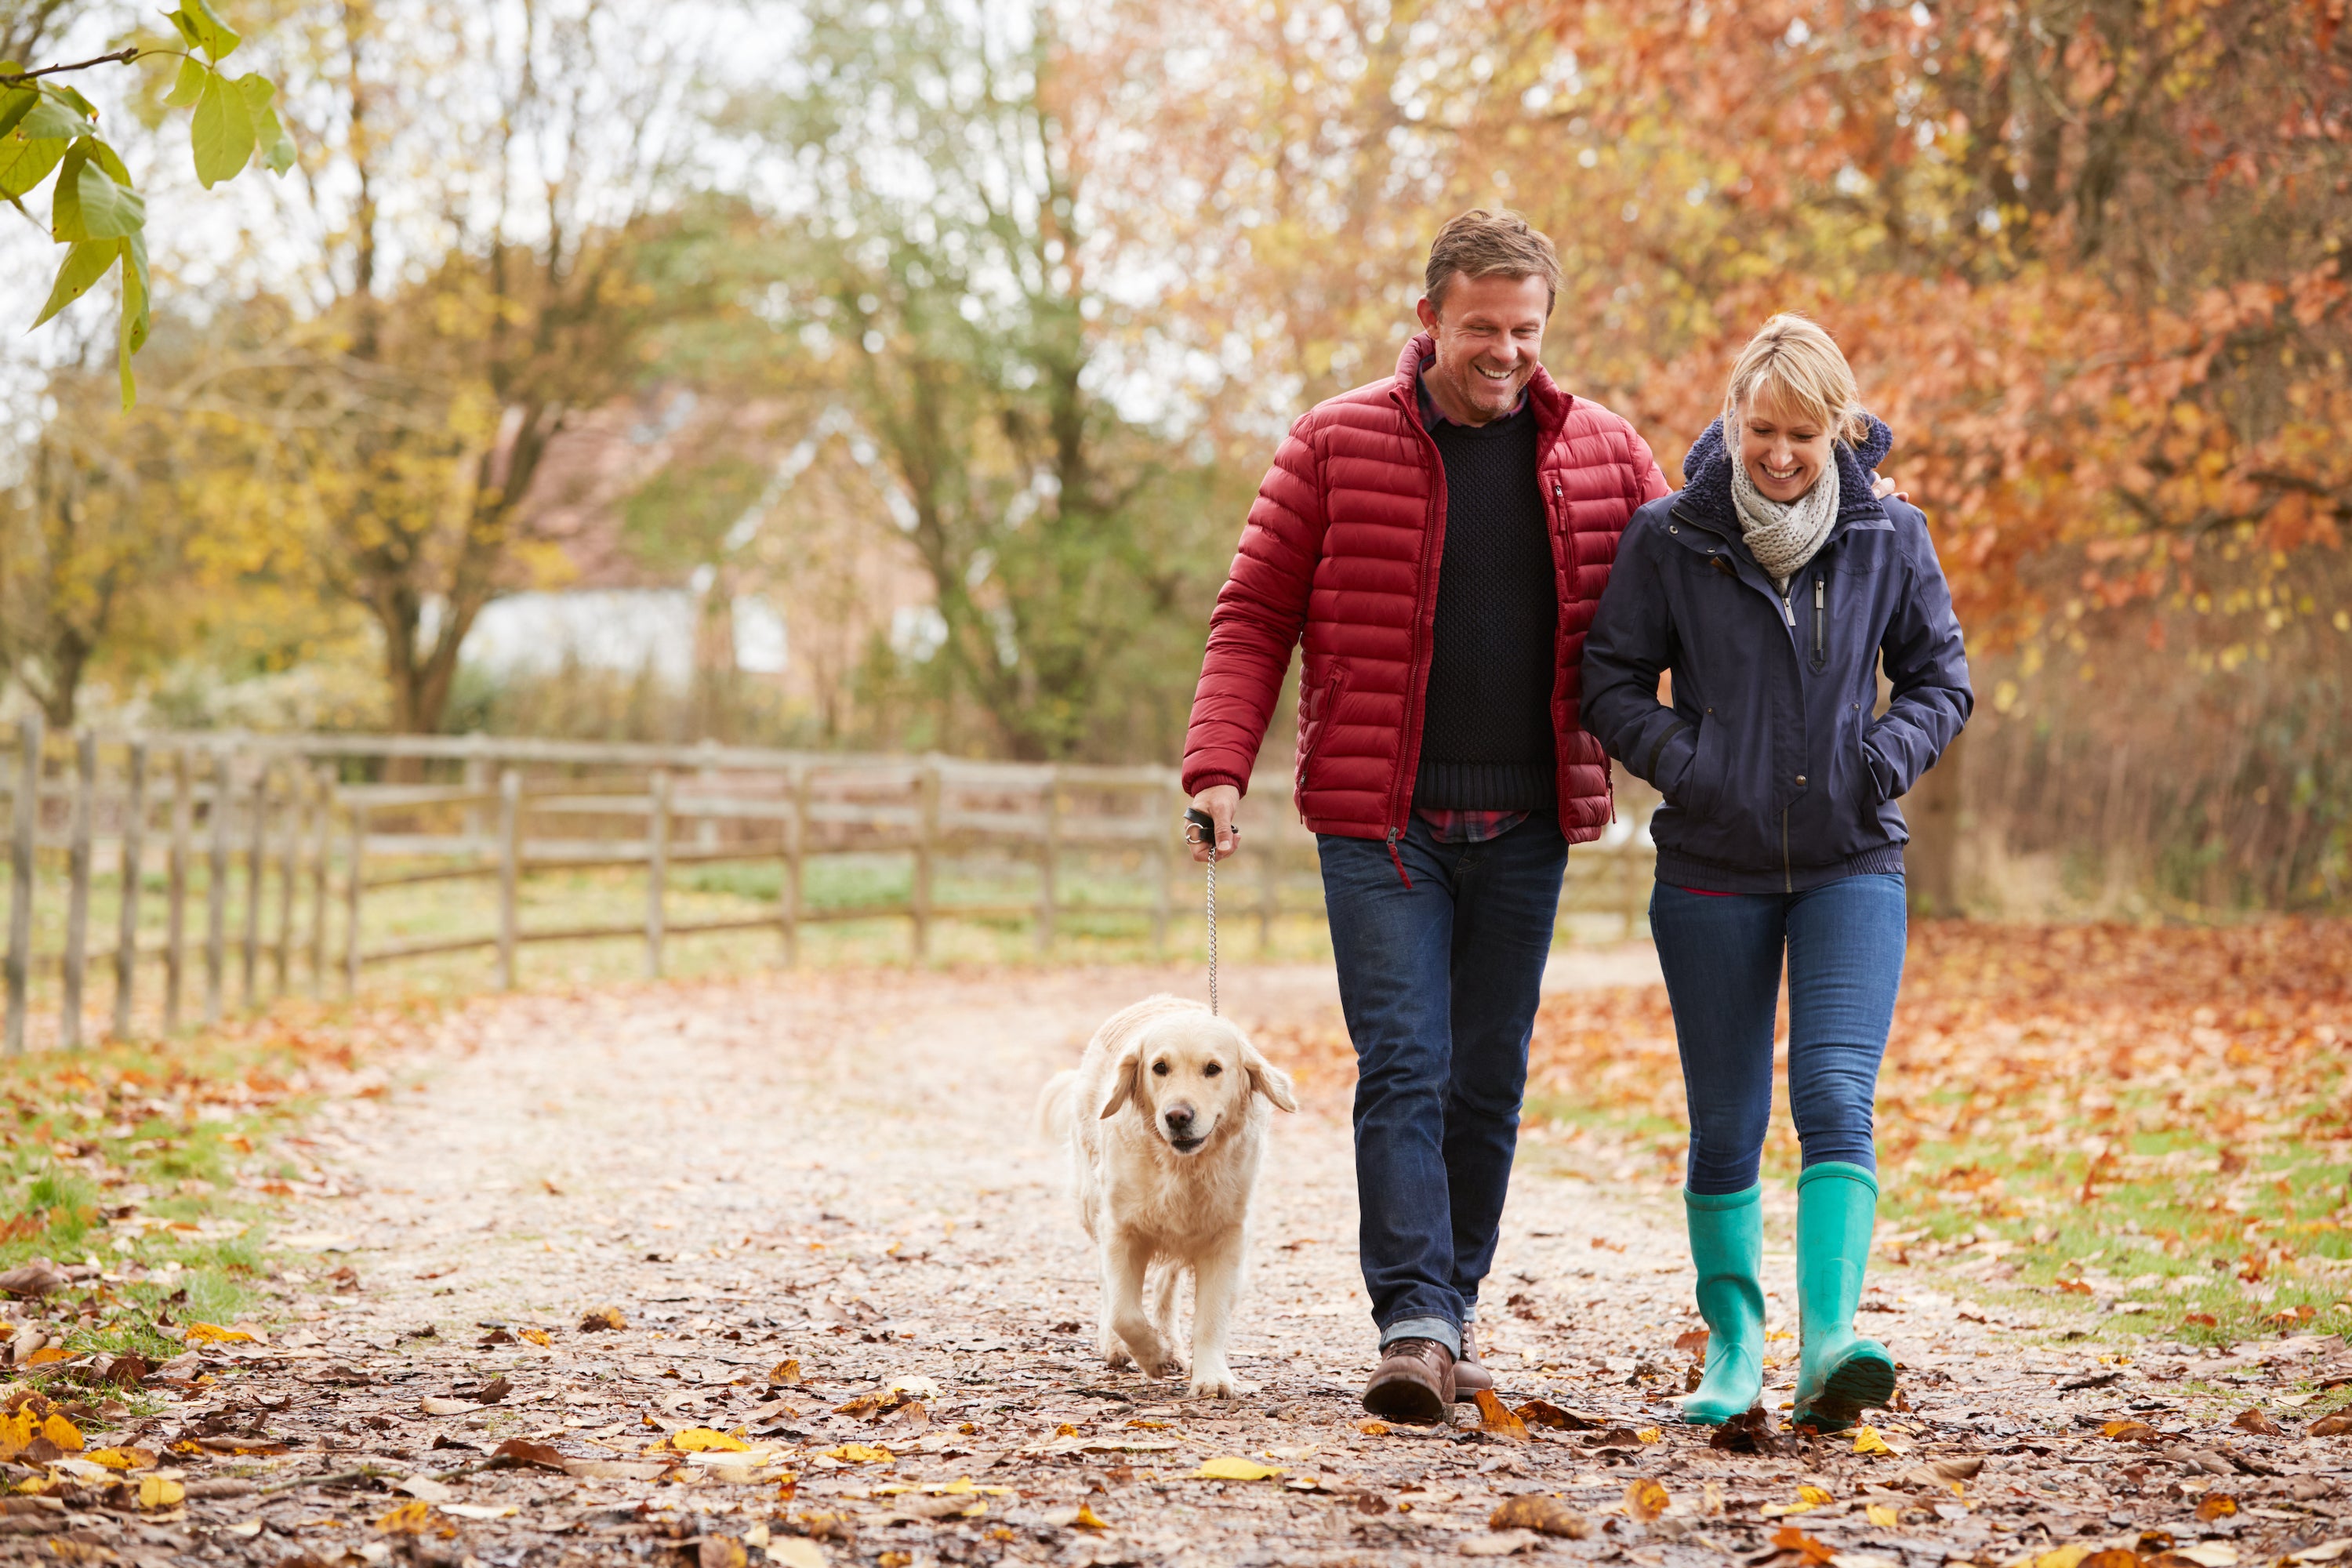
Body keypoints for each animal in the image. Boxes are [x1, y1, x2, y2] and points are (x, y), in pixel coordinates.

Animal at [1044, 992, 1308, 1401]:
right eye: (1160, 1067)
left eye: (1213, 1069)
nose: (1177, 1116)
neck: (1183, 1168)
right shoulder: (1120, 1229)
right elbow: (1123, 1311)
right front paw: (1154, 1356)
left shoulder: (1226, 1237)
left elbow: (1211, 1317)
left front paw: (1212, 1376)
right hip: (1092, 1204)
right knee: (1108, 1289)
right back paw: (1121, 1347)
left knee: (1166, 1286)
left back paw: (1174, 1343)